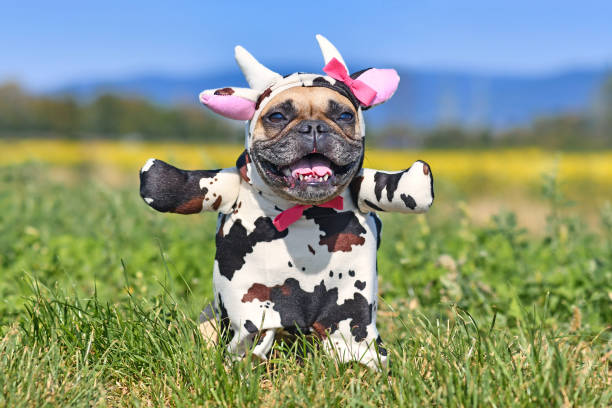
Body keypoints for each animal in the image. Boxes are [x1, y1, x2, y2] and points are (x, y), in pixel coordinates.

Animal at [140, 34, 436, 370]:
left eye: (345, 115)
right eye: (277, 116)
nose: (314, 127)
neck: (304, 211)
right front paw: (156, 178)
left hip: (346, 312)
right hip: (238, 313)